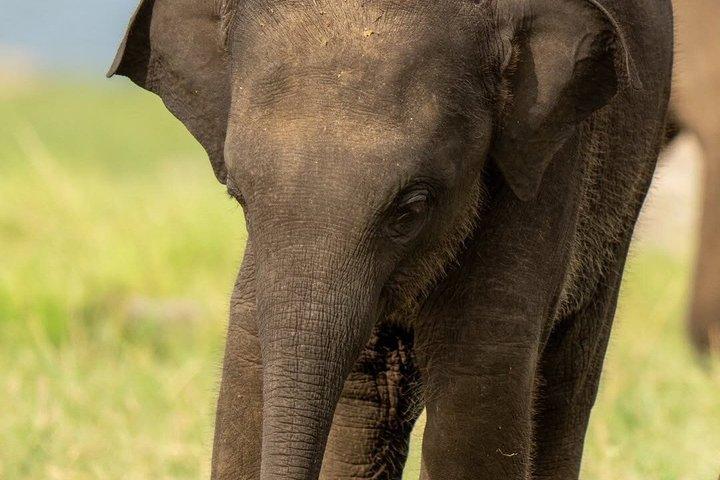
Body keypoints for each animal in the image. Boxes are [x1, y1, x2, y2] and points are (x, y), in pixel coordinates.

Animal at [108, 0, 673, 479]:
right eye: (238, 195)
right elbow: (248, 355)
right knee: (371, 390)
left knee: (565, 383)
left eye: (412, 207)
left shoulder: (546, 158)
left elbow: (479, 375)